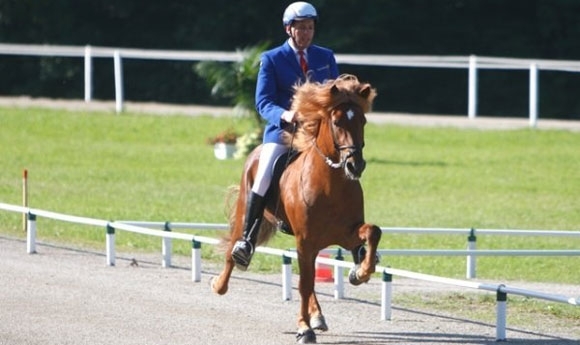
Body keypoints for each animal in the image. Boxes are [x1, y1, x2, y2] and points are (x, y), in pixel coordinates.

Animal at [211, 74, 382, 342]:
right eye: (337, 122)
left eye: (362, 120)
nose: (355, 166)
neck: (330, 185)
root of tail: (255, 152)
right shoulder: (305, 240)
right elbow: (304, 284)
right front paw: (303, 328)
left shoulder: (347, 234)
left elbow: (373, 231)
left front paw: (361, 272)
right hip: (246, 211)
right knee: (234, 247)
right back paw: (220, 283)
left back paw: (318, 315)